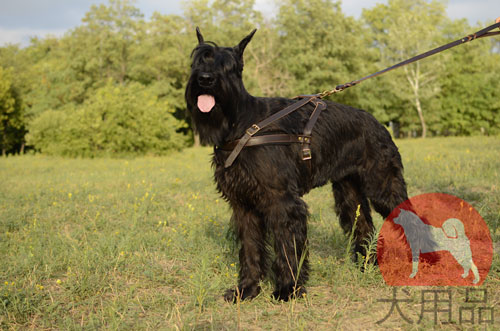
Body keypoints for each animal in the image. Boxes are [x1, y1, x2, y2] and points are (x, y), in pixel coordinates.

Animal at [186, 29, 408, 304]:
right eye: (197, 62)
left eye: (228, 66)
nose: (205, 79)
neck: (241, 125)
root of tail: (379, 123)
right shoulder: (243, 205)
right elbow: (250, 249)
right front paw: (246, 289)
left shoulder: (282, 202)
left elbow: (287, 246)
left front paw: (288, 289)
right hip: (349, 194)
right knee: (364, 226)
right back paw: (368, 265)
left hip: (383, 187)